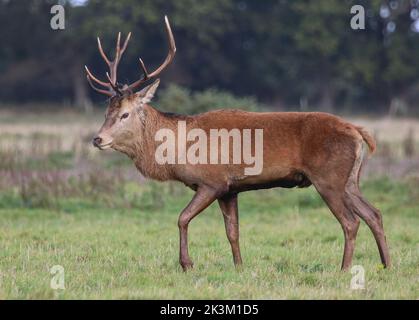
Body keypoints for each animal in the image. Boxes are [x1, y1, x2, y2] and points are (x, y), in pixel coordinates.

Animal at [85, 16, 390, 272]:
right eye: (106, 112)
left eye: (125, 114)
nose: (98, 139)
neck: (178, 151)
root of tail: (358, 131)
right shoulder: (230, 190)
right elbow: (232, 230)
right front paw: (239, 266)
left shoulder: (212, 181)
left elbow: (182, 218)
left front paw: (187, 264)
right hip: (349, 179)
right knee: (373, 213)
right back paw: (387, 265)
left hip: (328, 178)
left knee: (351, 221)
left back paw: (344, 269)